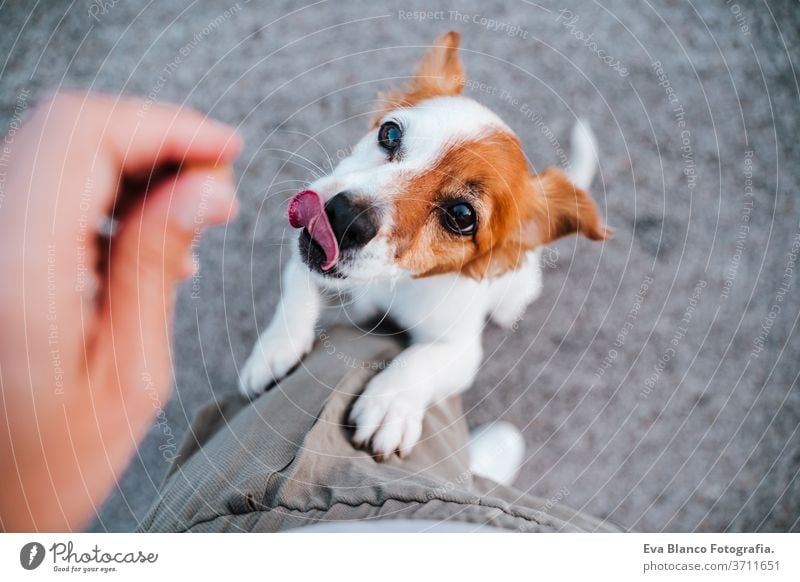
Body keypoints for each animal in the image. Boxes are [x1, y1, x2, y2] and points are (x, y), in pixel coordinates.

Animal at [238, 30, 608, 460]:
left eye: (462, 216)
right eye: (390, 133)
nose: (343, 217)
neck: (393, 283)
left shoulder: (462, 349)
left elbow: (422, 360)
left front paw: (389, 402)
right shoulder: (308, 262)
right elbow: (297, 290)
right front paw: (274, 350)